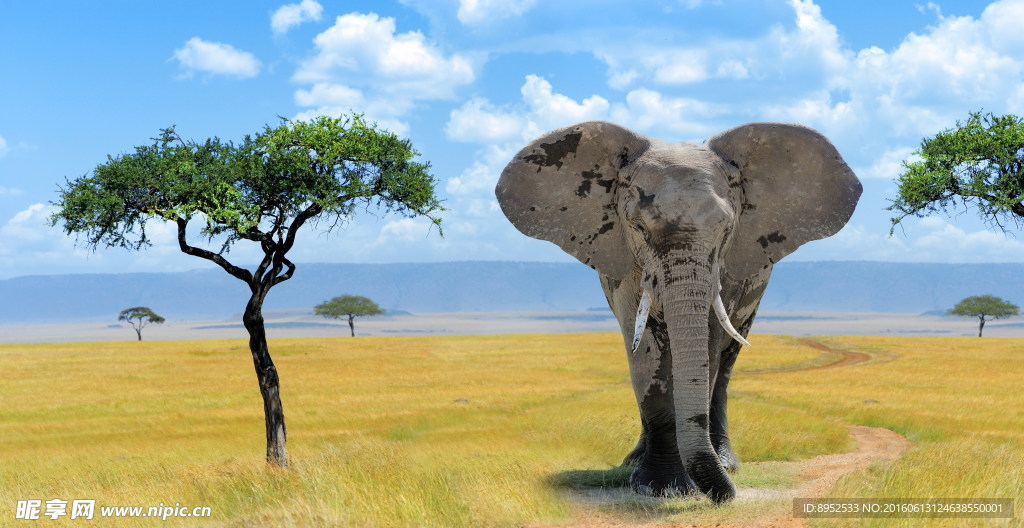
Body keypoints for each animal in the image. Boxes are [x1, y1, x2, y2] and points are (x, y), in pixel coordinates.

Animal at [494, 121, 861, 502]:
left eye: (726, 229)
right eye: (638, 227)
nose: (727, 496)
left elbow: (710, 348)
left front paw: (681, 485)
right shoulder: (627, 267)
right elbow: (644, 353)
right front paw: (660, 488)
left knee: (726, 363)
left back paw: (726, 464)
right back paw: (633, 465)